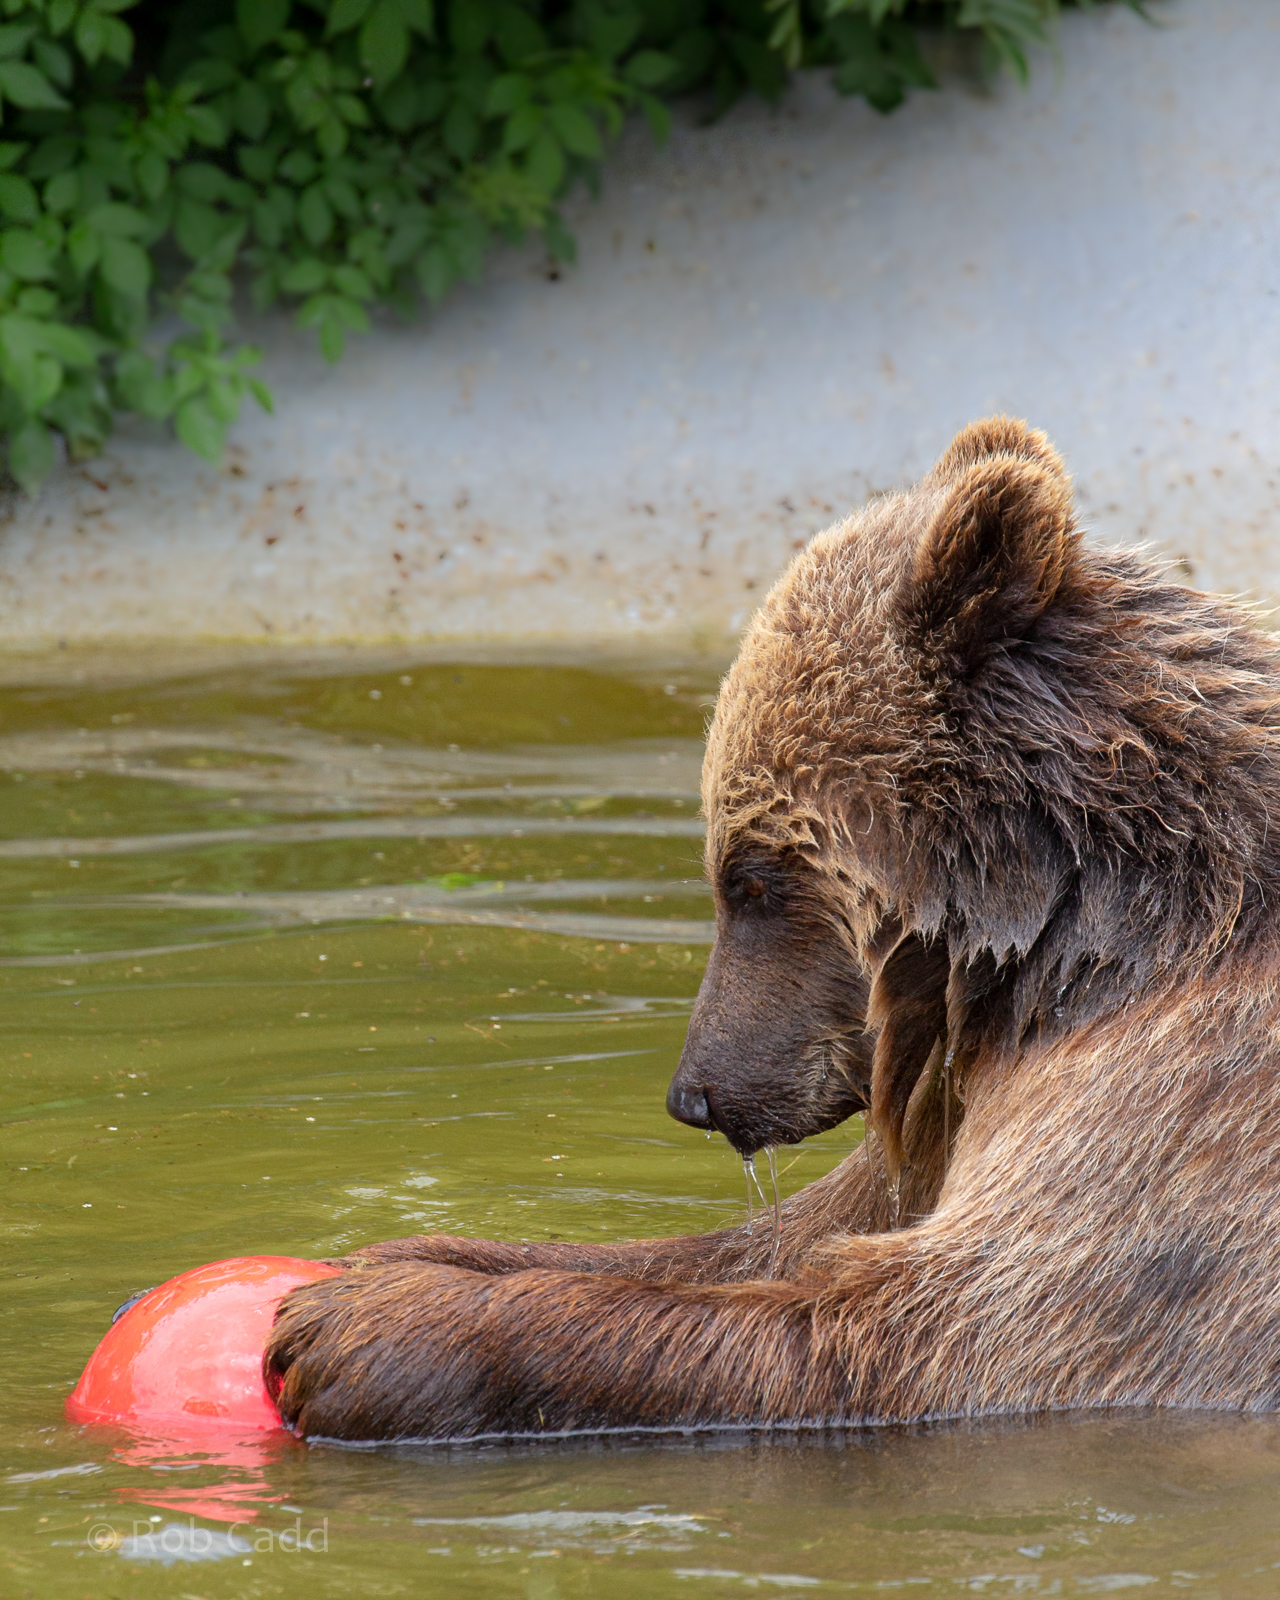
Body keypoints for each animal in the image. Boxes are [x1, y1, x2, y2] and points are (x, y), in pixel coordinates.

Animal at [265, 416, 1280, 1441]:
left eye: (750, 880)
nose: (696, 1095)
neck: (1088, 946)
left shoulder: (1177, 1113)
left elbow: (936, 1322)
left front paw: (354, 1326)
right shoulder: (954, 1093)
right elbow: (768, 1237)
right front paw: (395, 1257)